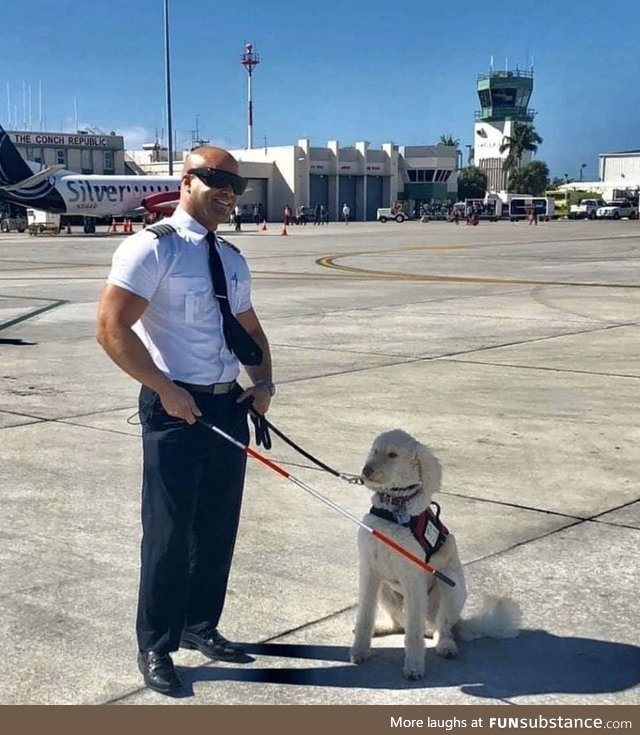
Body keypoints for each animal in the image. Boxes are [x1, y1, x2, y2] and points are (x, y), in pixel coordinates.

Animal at [350, 428, 520, 680]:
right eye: (374, 451)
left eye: (393, 455)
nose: (366, 471)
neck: (394, 508)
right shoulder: (370, 570)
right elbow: (364, 617)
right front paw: (359, 651)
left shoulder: (412, 578)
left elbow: (413, 635)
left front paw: (414, 667)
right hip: (385, 588)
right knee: (400, 624)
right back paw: (381, 627)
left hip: (451, 589)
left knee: (442, 628)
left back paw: (445, 645)